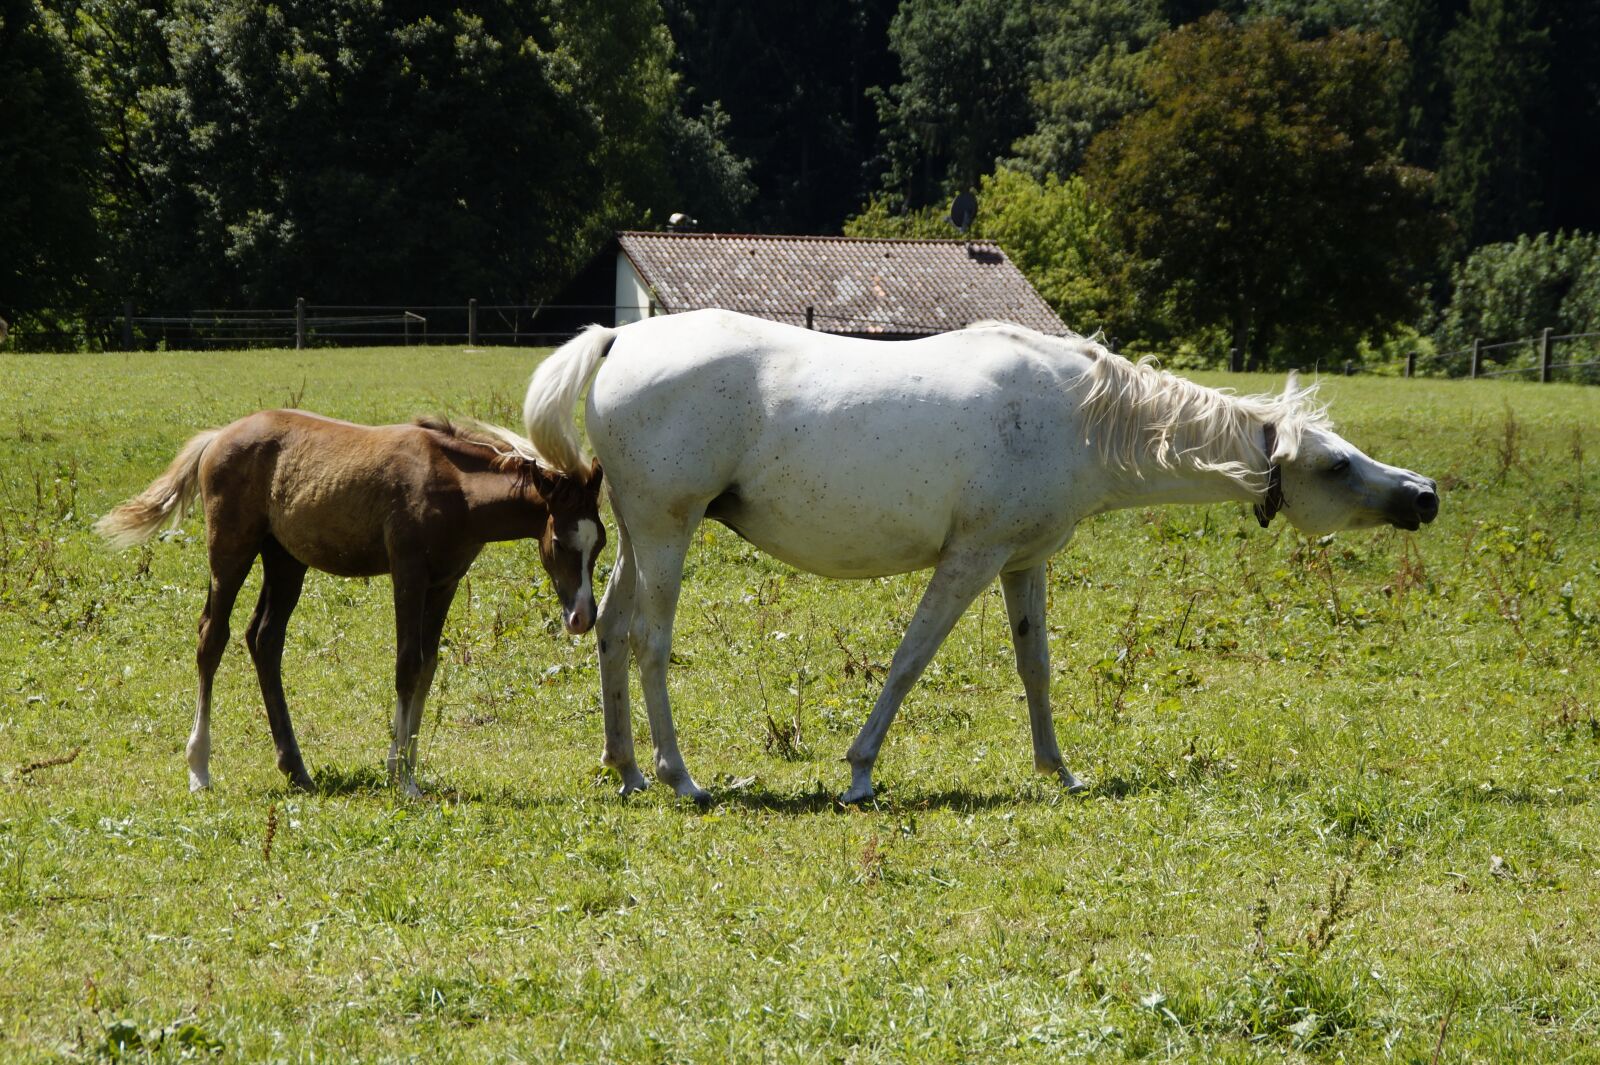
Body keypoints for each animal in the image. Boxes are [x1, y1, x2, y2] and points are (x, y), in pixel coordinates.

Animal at [96, 410, 605, 796]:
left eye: (599, 542)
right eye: (559, 542)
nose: (582, 617)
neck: (455, 487)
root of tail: (217, 437)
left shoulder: (445, 582)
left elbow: (428, 666)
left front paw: (411, 767)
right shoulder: (408, 573)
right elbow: (407, 664)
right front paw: (401, 778)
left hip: (286, 560)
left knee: (264, 638)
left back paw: (296, 769)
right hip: (231, 550)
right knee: (212, 638)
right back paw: (200, 770)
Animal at [522, 309, 1438, 805]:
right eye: (1336, 465)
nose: (1423, 494)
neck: (1078, 416)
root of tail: (618, 338)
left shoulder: (1022, 563)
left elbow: (1036, 668)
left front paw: (1060, 769)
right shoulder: (970, 559)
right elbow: (908, 661)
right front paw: (860, 772)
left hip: (638, 537)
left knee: (610, 632)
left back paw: (625, 768)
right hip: (669, 531)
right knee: (650, 644)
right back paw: (680, 776)